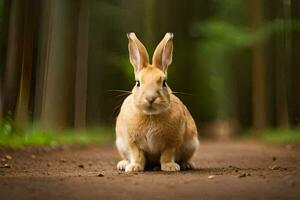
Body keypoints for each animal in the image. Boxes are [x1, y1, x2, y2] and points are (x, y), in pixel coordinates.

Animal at [115, 32, 199, 172]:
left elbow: (166, 155)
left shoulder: (171, 142)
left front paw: (170, 167)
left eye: (164, 82)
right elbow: (137, 155)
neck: (151, 115)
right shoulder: (132, 142)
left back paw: (186, 164)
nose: (150, 98)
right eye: (138, 83)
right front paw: (134, 168)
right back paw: (123, 164)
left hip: (192, 144)